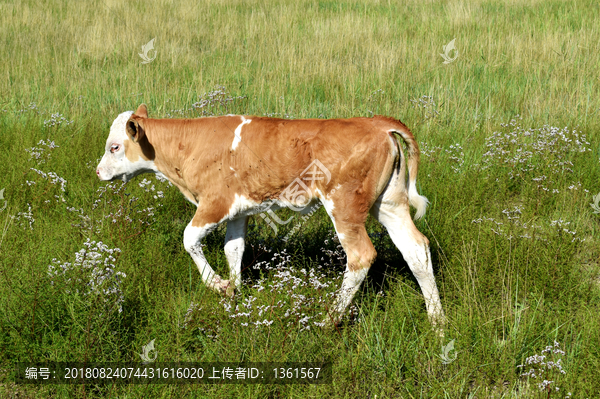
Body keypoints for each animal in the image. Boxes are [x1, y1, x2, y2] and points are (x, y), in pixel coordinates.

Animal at [97, 104, 446, 330]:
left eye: (114, 147)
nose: (98, 172)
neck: (190, 145)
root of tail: (376, 123)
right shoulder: (238, 209)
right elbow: (233, 248)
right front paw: (234, 293)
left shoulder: (215, 202)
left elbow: (189, 239)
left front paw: (218, 285)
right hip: (390, 204)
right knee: (416, 249)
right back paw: (437, 322)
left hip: (344, 205)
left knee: (361, 255)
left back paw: (327, 320)